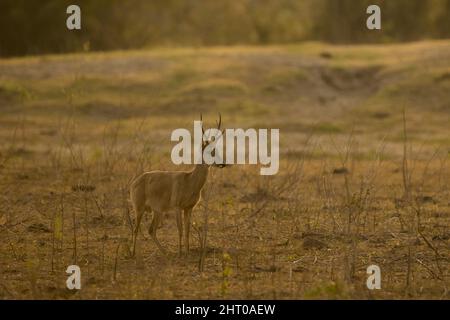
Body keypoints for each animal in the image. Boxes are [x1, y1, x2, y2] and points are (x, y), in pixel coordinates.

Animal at [130, 114, 225, 256]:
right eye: (209, 151)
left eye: (216, 150)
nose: (222, 163)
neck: (189, 180)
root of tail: (135, 182)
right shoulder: (177, 207)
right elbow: (180, 229)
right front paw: (180, 252)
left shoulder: (189, 208)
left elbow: (187, 231)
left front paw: (187, 251)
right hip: (139, 208)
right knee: (136, 229)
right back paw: (133, 253)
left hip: (157, 211)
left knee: (151, 230)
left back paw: (165, 252)